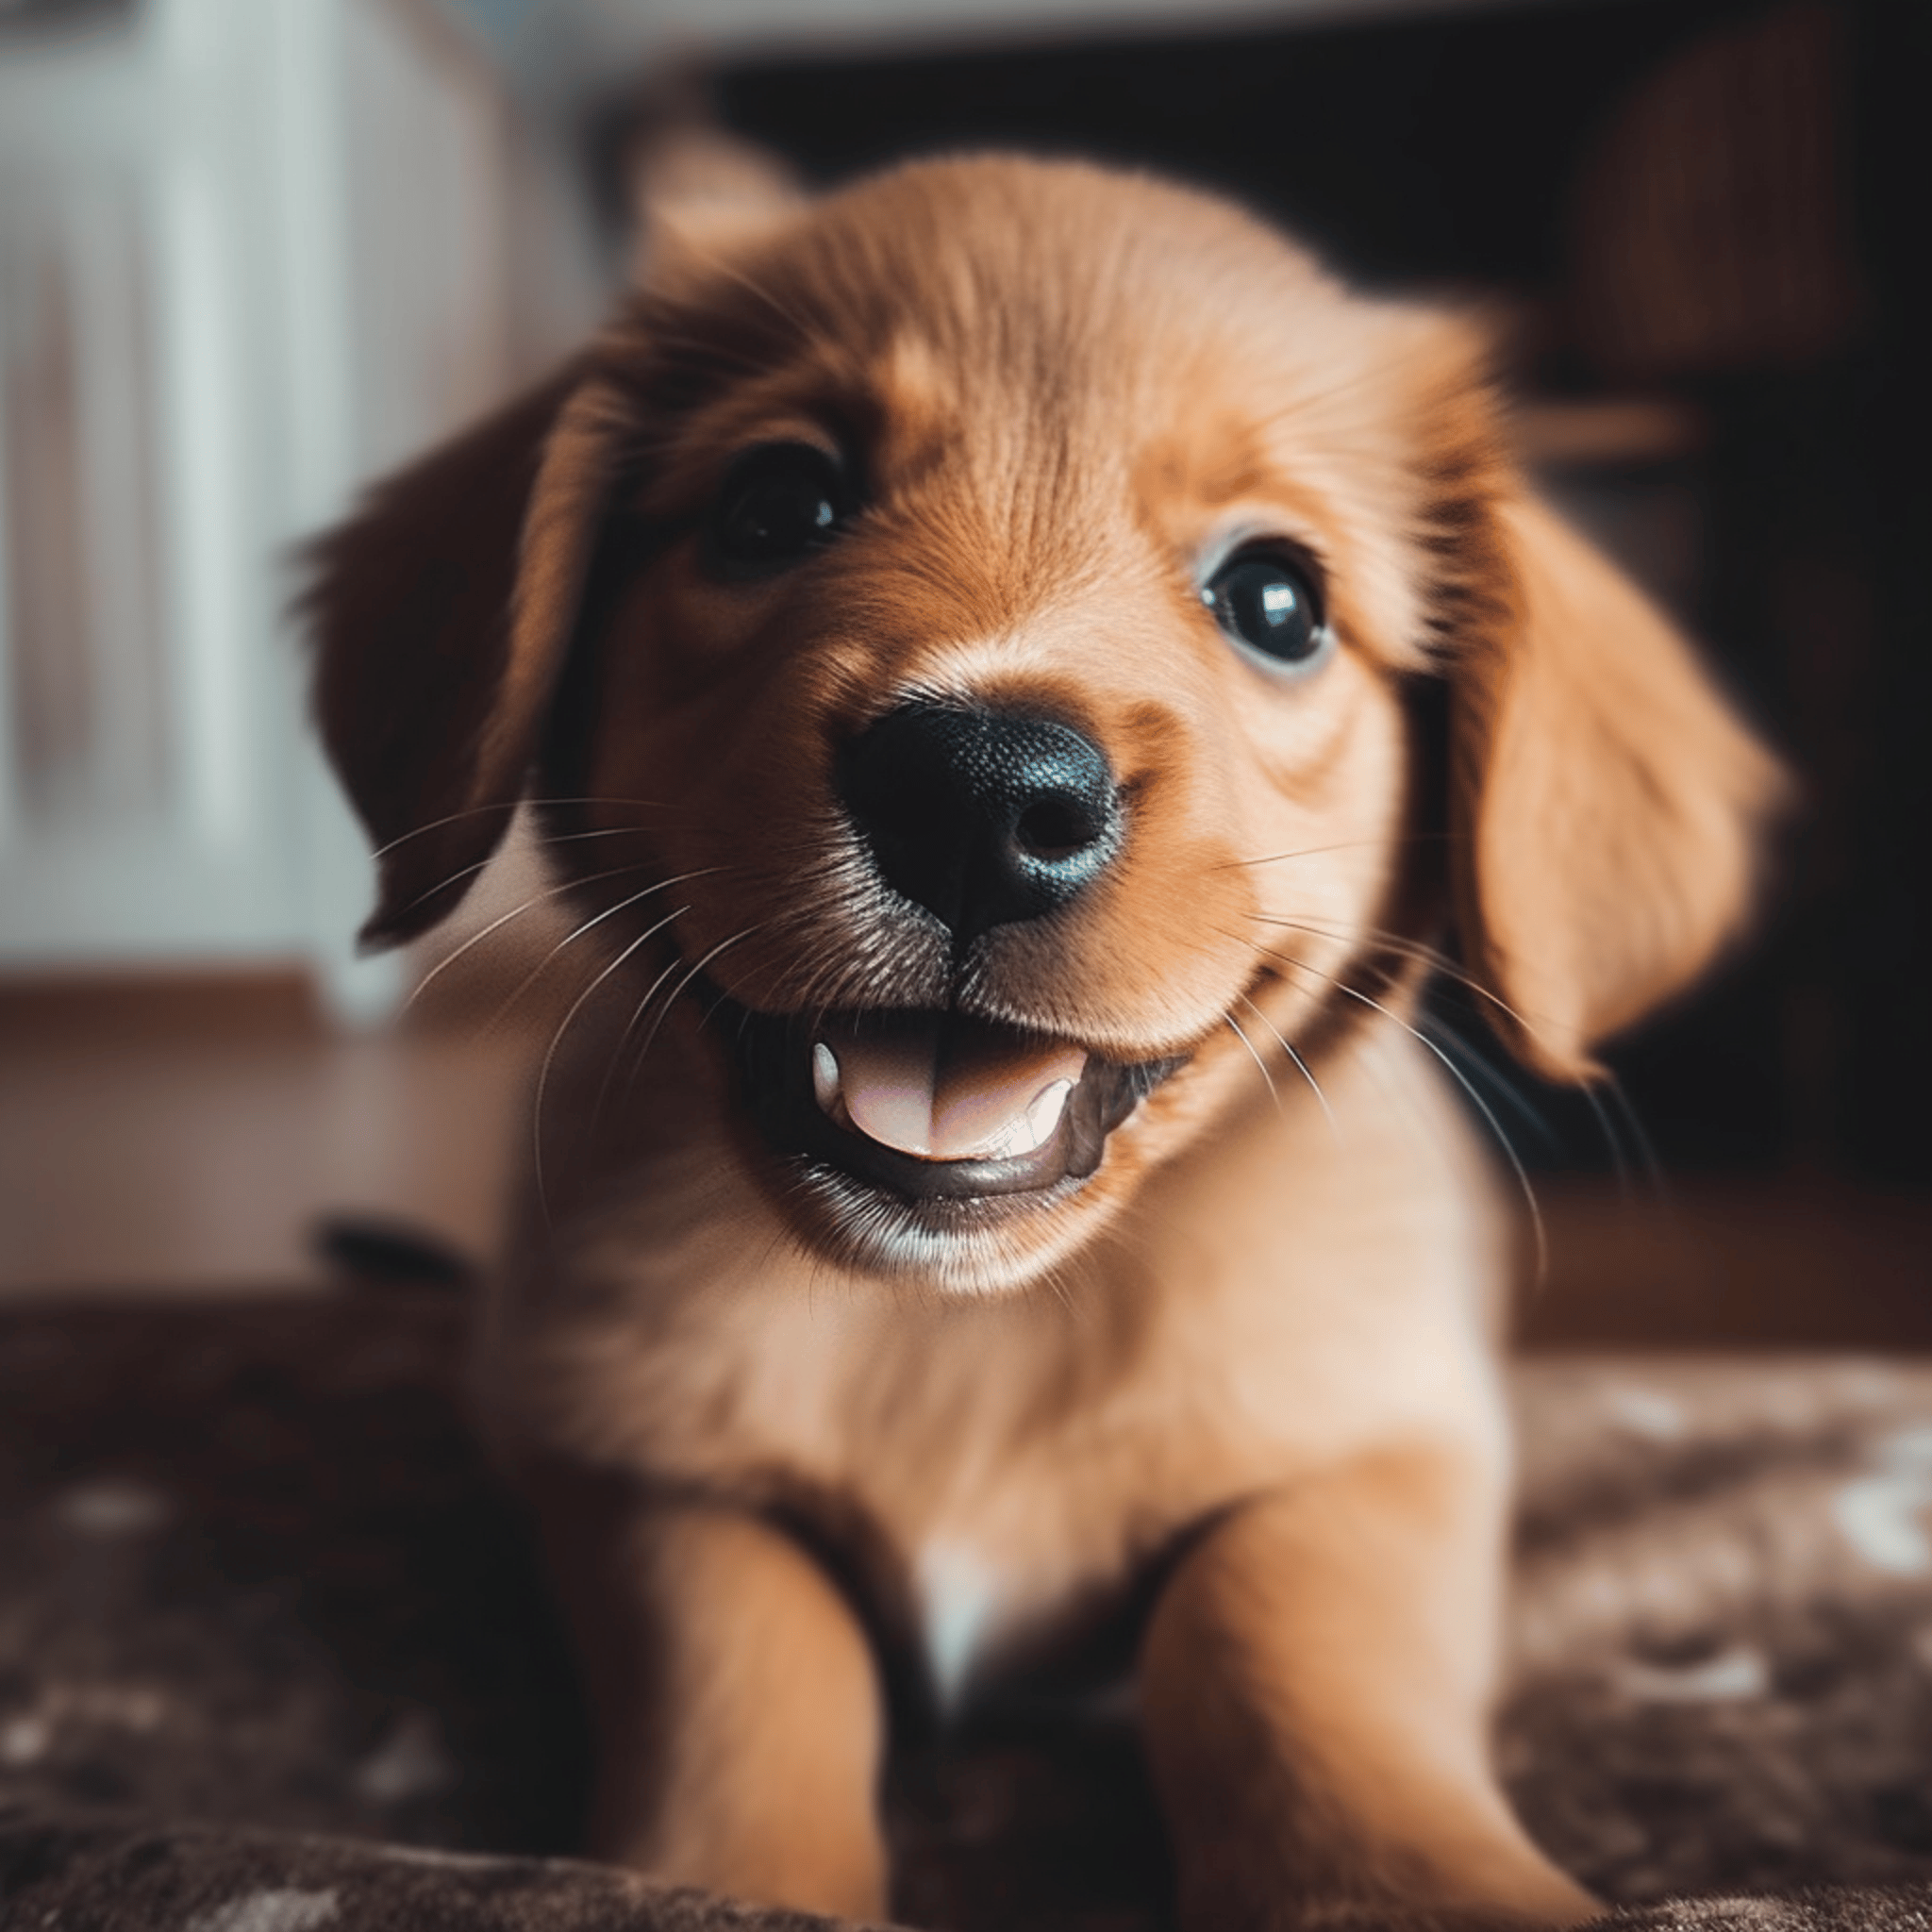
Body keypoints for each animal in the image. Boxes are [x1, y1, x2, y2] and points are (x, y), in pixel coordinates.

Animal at [305, 154, 1777, 1932]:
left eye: (1276, 599)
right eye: (773, 508)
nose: (980, 798)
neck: (964, 1327)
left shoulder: (1390, 1438)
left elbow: (1282, 1630)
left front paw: (1415, 1877)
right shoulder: (611, 1447)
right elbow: (740, 1649)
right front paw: (730, 1876)